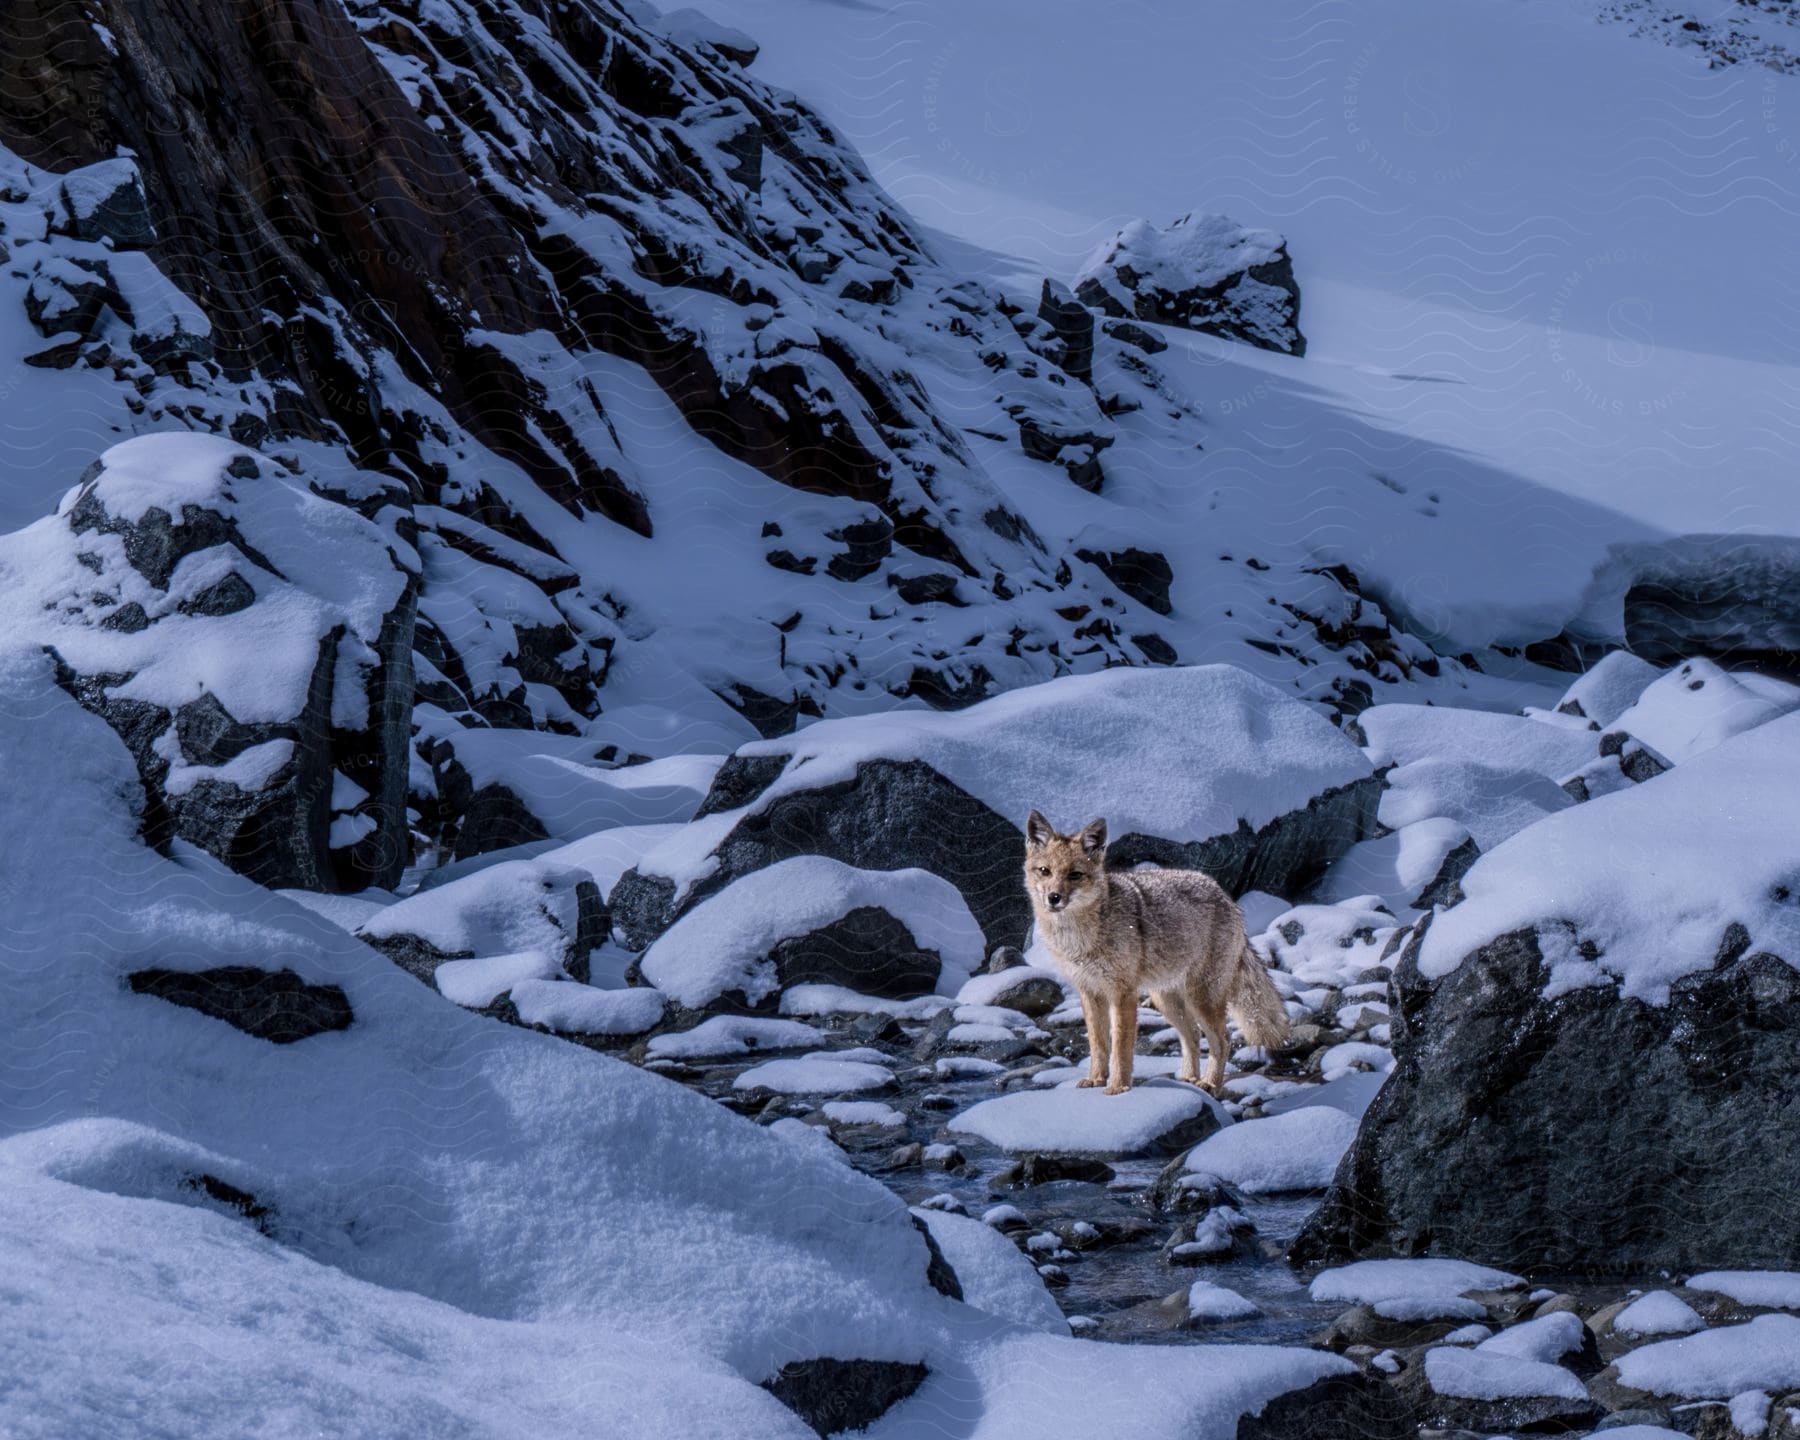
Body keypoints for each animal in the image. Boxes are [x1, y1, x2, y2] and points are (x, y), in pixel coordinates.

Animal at [1022, 802, 1288, 1094]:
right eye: (1045, 871)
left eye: (1075, 875)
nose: (1054, 898)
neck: (1080, 939)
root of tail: (1225, 896)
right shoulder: (1089, 992)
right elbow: (1098, 1044)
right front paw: (1095, 1079)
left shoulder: (1122, 993)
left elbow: (1120, 1047)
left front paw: (1118, 1088)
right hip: (1165, 1000)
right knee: (1192, 1035)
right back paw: (1188, 1079)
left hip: (1200, 998)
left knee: (1222, 1040)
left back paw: (1209, 1084)